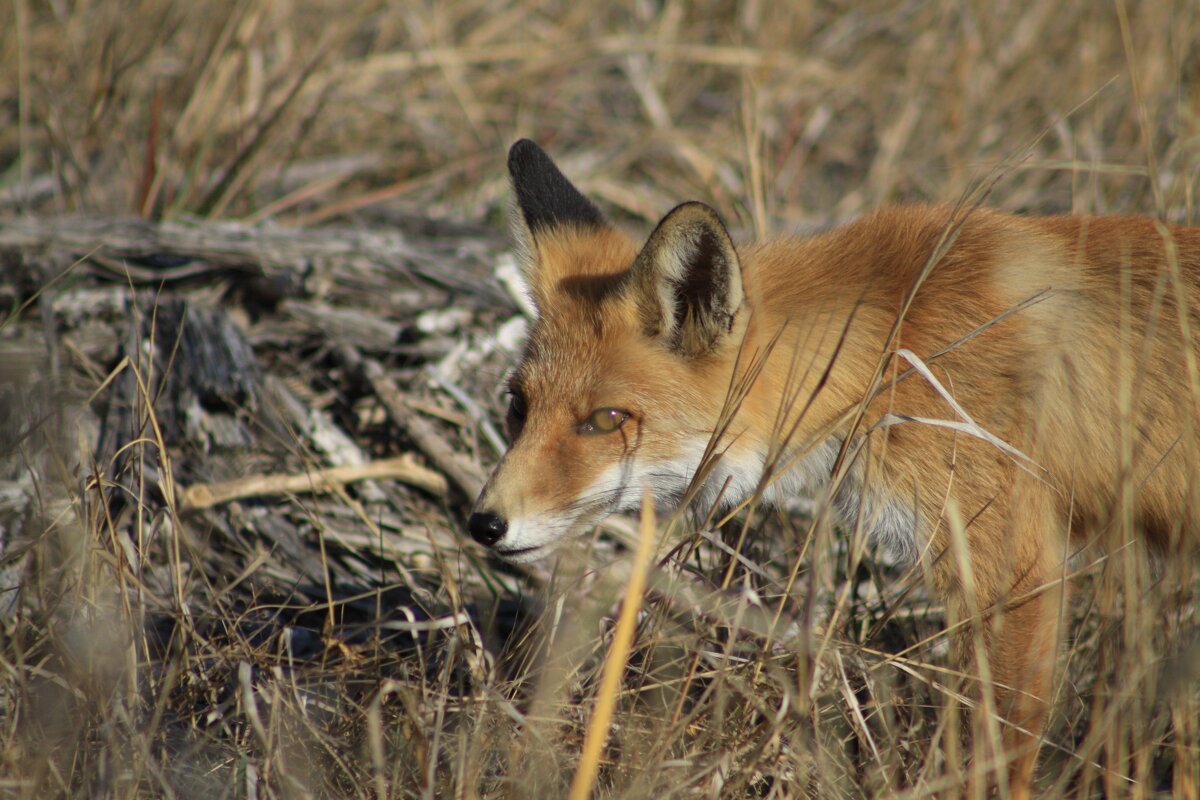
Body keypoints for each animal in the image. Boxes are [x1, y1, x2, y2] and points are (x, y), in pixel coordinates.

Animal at [468, 139, 1200, 796]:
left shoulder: (1014, 571)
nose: (483, 524)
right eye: (517, 407)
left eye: (605, 420)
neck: (891, 348)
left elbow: (997, 755)